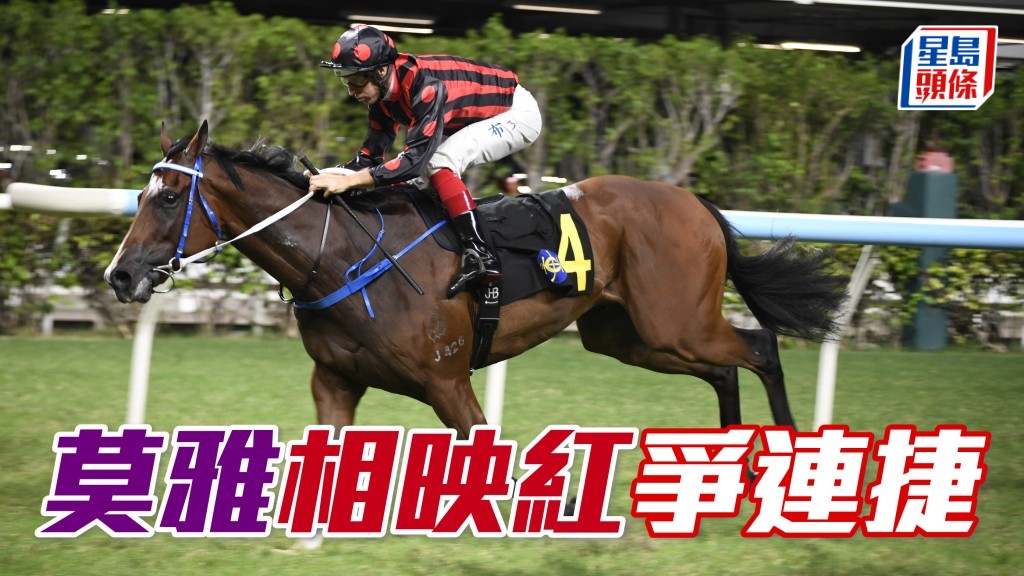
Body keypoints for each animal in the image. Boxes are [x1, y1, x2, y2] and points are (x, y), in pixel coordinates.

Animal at [105, 120, 848, 437]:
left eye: (167, 199)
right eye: (142, 195)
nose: (120, 275)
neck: (343, 258)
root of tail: (697, 202)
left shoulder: (447, 383)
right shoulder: (335, 381)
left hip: (675, 321)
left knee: (761, 348)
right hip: (629, 336)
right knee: (724, 369)